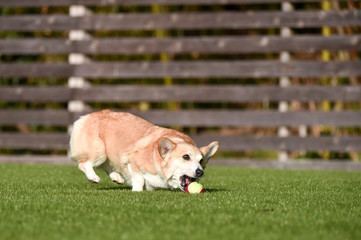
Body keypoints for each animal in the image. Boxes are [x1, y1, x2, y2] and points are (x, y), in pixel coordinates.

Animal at [69, 110, 218, 191]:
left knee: (107, 165)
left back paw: (116, 177)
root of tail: (88, 116)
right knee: (84, 163)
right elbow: (139, 179)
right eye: (186, 157)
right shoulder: (131, 161)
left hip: (107, 154)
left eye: (201, 161)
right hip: (99, 152)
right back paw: (93, 177)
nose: (200, 172)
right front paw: (137, 191)